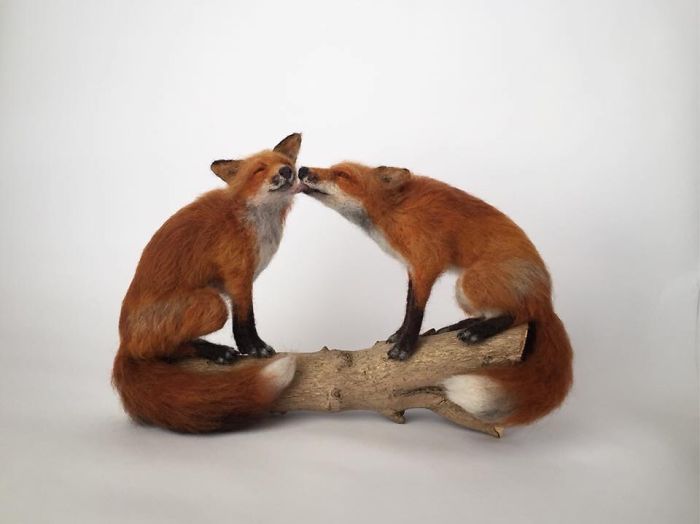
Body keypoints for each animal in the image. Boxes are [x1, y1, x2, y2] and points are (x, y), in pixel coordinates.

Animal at [112, 133, 302, 432]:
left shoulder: (239, 282)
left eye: (284, 162)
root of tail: (123, 341)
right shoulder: (237, 276)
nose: (286, 172)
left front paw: (251, 348)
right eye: (259, 169)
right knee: (161, 351)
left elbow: (244, 318)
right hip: (212, 306)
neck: (254, 220)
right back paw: (215, 351)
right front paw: (254, 349)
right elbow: (245, 320)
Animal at [297, 162, 573, 426]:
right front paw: (398, 336)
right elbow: (408, 306)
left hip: (468, 283)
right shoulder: (413, 267)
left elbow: (416, 311)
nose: (302, 169)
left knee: (519, 314)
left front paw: (405, 347)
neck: (395, 212)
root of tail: (545, 297)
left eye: (341, 174)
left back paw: (479, 331)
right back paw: (461, 325)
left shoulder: (427, 261)